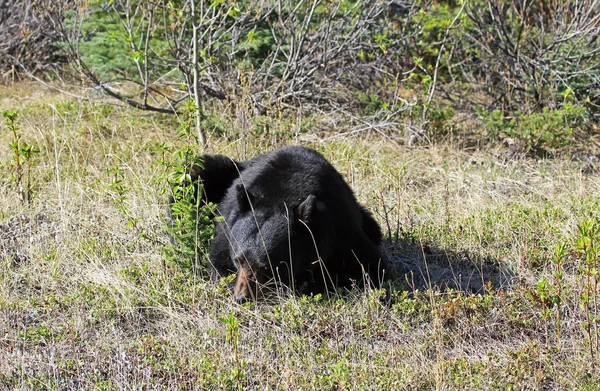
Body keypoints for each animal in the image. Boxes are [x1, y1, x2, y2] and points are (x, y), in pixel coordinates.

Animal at [183, 145, 384, 302]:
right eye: (238, 259)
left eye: (267, 267)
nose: (241, 297)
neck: (283, 196)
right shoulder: (228, 227)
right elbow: (218, 263)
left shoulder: (340, 229)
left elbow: (369, 268)